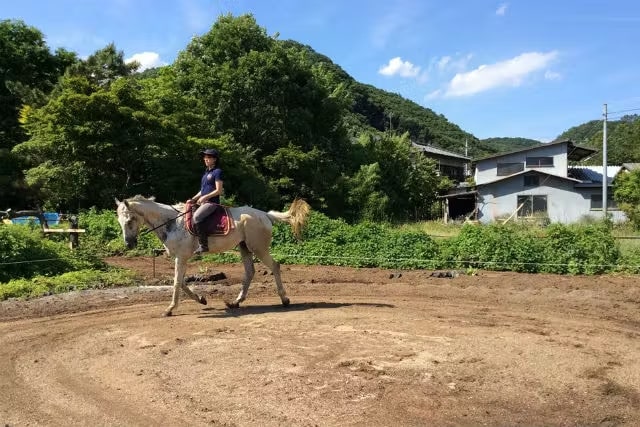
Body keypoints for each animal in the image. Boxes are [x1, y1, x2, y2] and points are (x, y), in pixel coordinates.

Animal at [118, 196, 312, 316]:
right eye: (120, 222)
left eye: (130, 220)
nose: (129, 244)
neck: (173, 222)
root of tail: (265, 215)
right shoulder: (181, 258)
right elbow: (182, 282)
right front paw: (201, 300)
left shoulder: (181, 257)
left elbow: (176, 282)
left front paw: (170, 309)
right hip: (245, 248)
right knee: (250, 272)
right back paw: (235, 302)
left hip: (258, 248)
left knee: (274, 266)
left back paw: (285, 299)